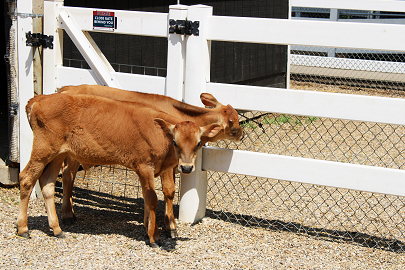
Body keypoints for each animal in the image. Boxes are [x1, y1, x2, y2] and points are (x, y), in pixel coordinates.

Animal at [17, 93, 221, 247]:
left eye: (198, 143)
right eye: (175, 142)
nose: (186, 167)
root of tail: (39, 99)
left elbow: (147, 197)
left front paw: (148, 229)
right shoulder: (144, 166)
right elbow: (152, 199)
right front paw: (154, 237)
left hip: (59, 152)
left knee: (48, 183)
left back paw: (57, 228)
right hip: (43, 148)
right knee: (26, 178)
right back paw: (23, 228)